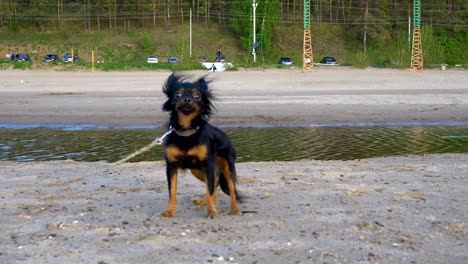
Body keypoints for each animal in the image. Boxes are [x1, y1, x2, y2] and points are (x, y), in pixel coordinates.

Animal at [160, 72, 241, 219]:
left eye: (197, 96)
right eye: (177, 95)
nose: (187, 100)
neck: (187, 131)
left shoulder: (208, 165)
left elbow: (211, 189)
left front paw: (212, 211)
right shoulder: (171, 166)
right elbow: (172, 192)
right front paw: (169, 211)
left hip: (227, 167)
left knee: (229, 187)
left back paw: (234, 208)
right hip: (196, 170)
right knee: (215, 182)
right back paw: (205, 202)